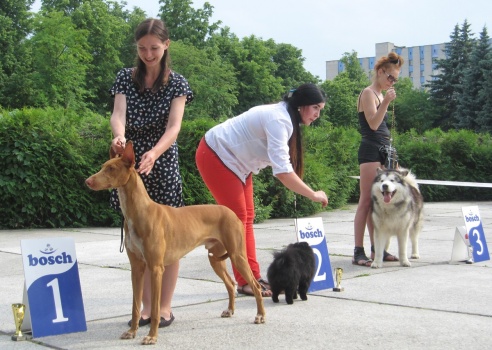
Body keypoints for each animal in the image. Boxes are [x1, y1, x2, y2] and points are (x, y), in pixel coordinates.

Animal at [86, 142, 268, 344]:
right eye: (103, 166)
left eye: (111, 168)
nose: (88, 181)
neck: (138, 212)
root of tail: (231, 213)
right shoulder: (137, 268)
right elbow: (135, 306)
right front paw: (132, 331)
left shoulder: (156, 268)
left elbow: (155, 309)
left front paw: (152, 336)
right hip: (215, 258)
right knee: (230, 283)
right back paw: (230, 310)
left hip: (237, 255)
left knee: (255, 286)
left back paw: (260, 315)